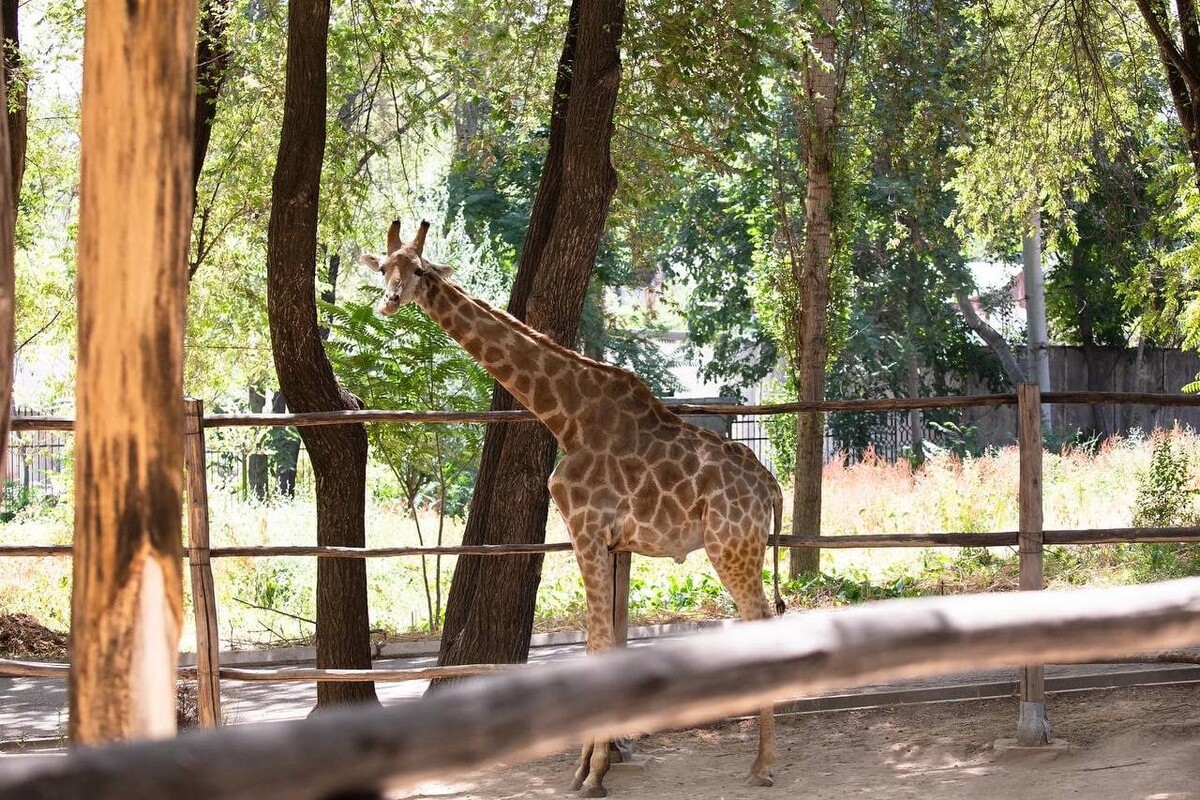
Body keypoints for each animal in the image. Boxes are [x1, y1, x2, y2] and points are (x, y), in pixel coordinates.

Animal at [360, 221, 782, 796]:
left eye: (420, 269)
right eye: (384, 267)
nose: (390, 300)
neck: (566, 415)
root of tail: (771, 488)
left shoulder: (586, 529)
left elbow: (599, 646)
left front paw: (594, 772)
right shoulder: (610, 541)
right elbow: (599, 647)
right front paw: (586, 766)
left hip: (730, 546)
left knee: (764, 623)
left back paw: (762, 765)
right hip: (742, 547)